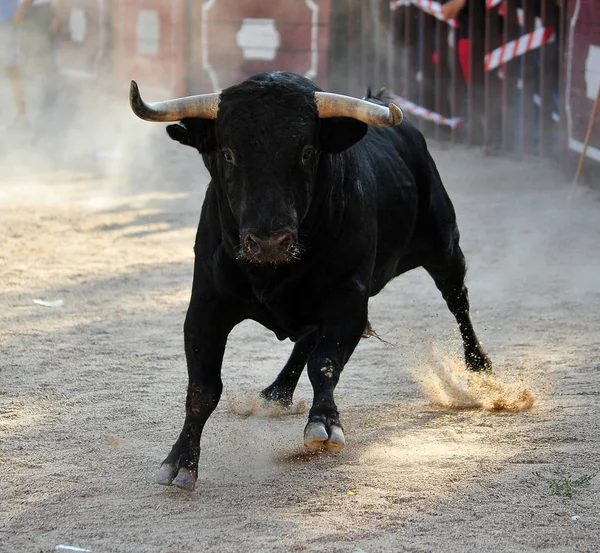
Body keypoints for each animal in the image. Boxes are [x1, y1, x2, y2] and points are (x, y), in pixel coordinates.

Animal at [129, 71, 490, 490]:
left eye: (306, 152)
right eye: (229, 153)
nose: (270, 241)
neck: (272, 270)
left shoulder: (349, 297)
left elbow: (326, 363)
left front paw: (324, 424)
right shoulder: (205, 304)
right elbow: (203, 387)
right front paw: (180, 461)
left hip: (444, 245)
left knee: (458, 301)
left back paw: (480, 370)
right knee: (306, 338)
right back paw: (277, 391)